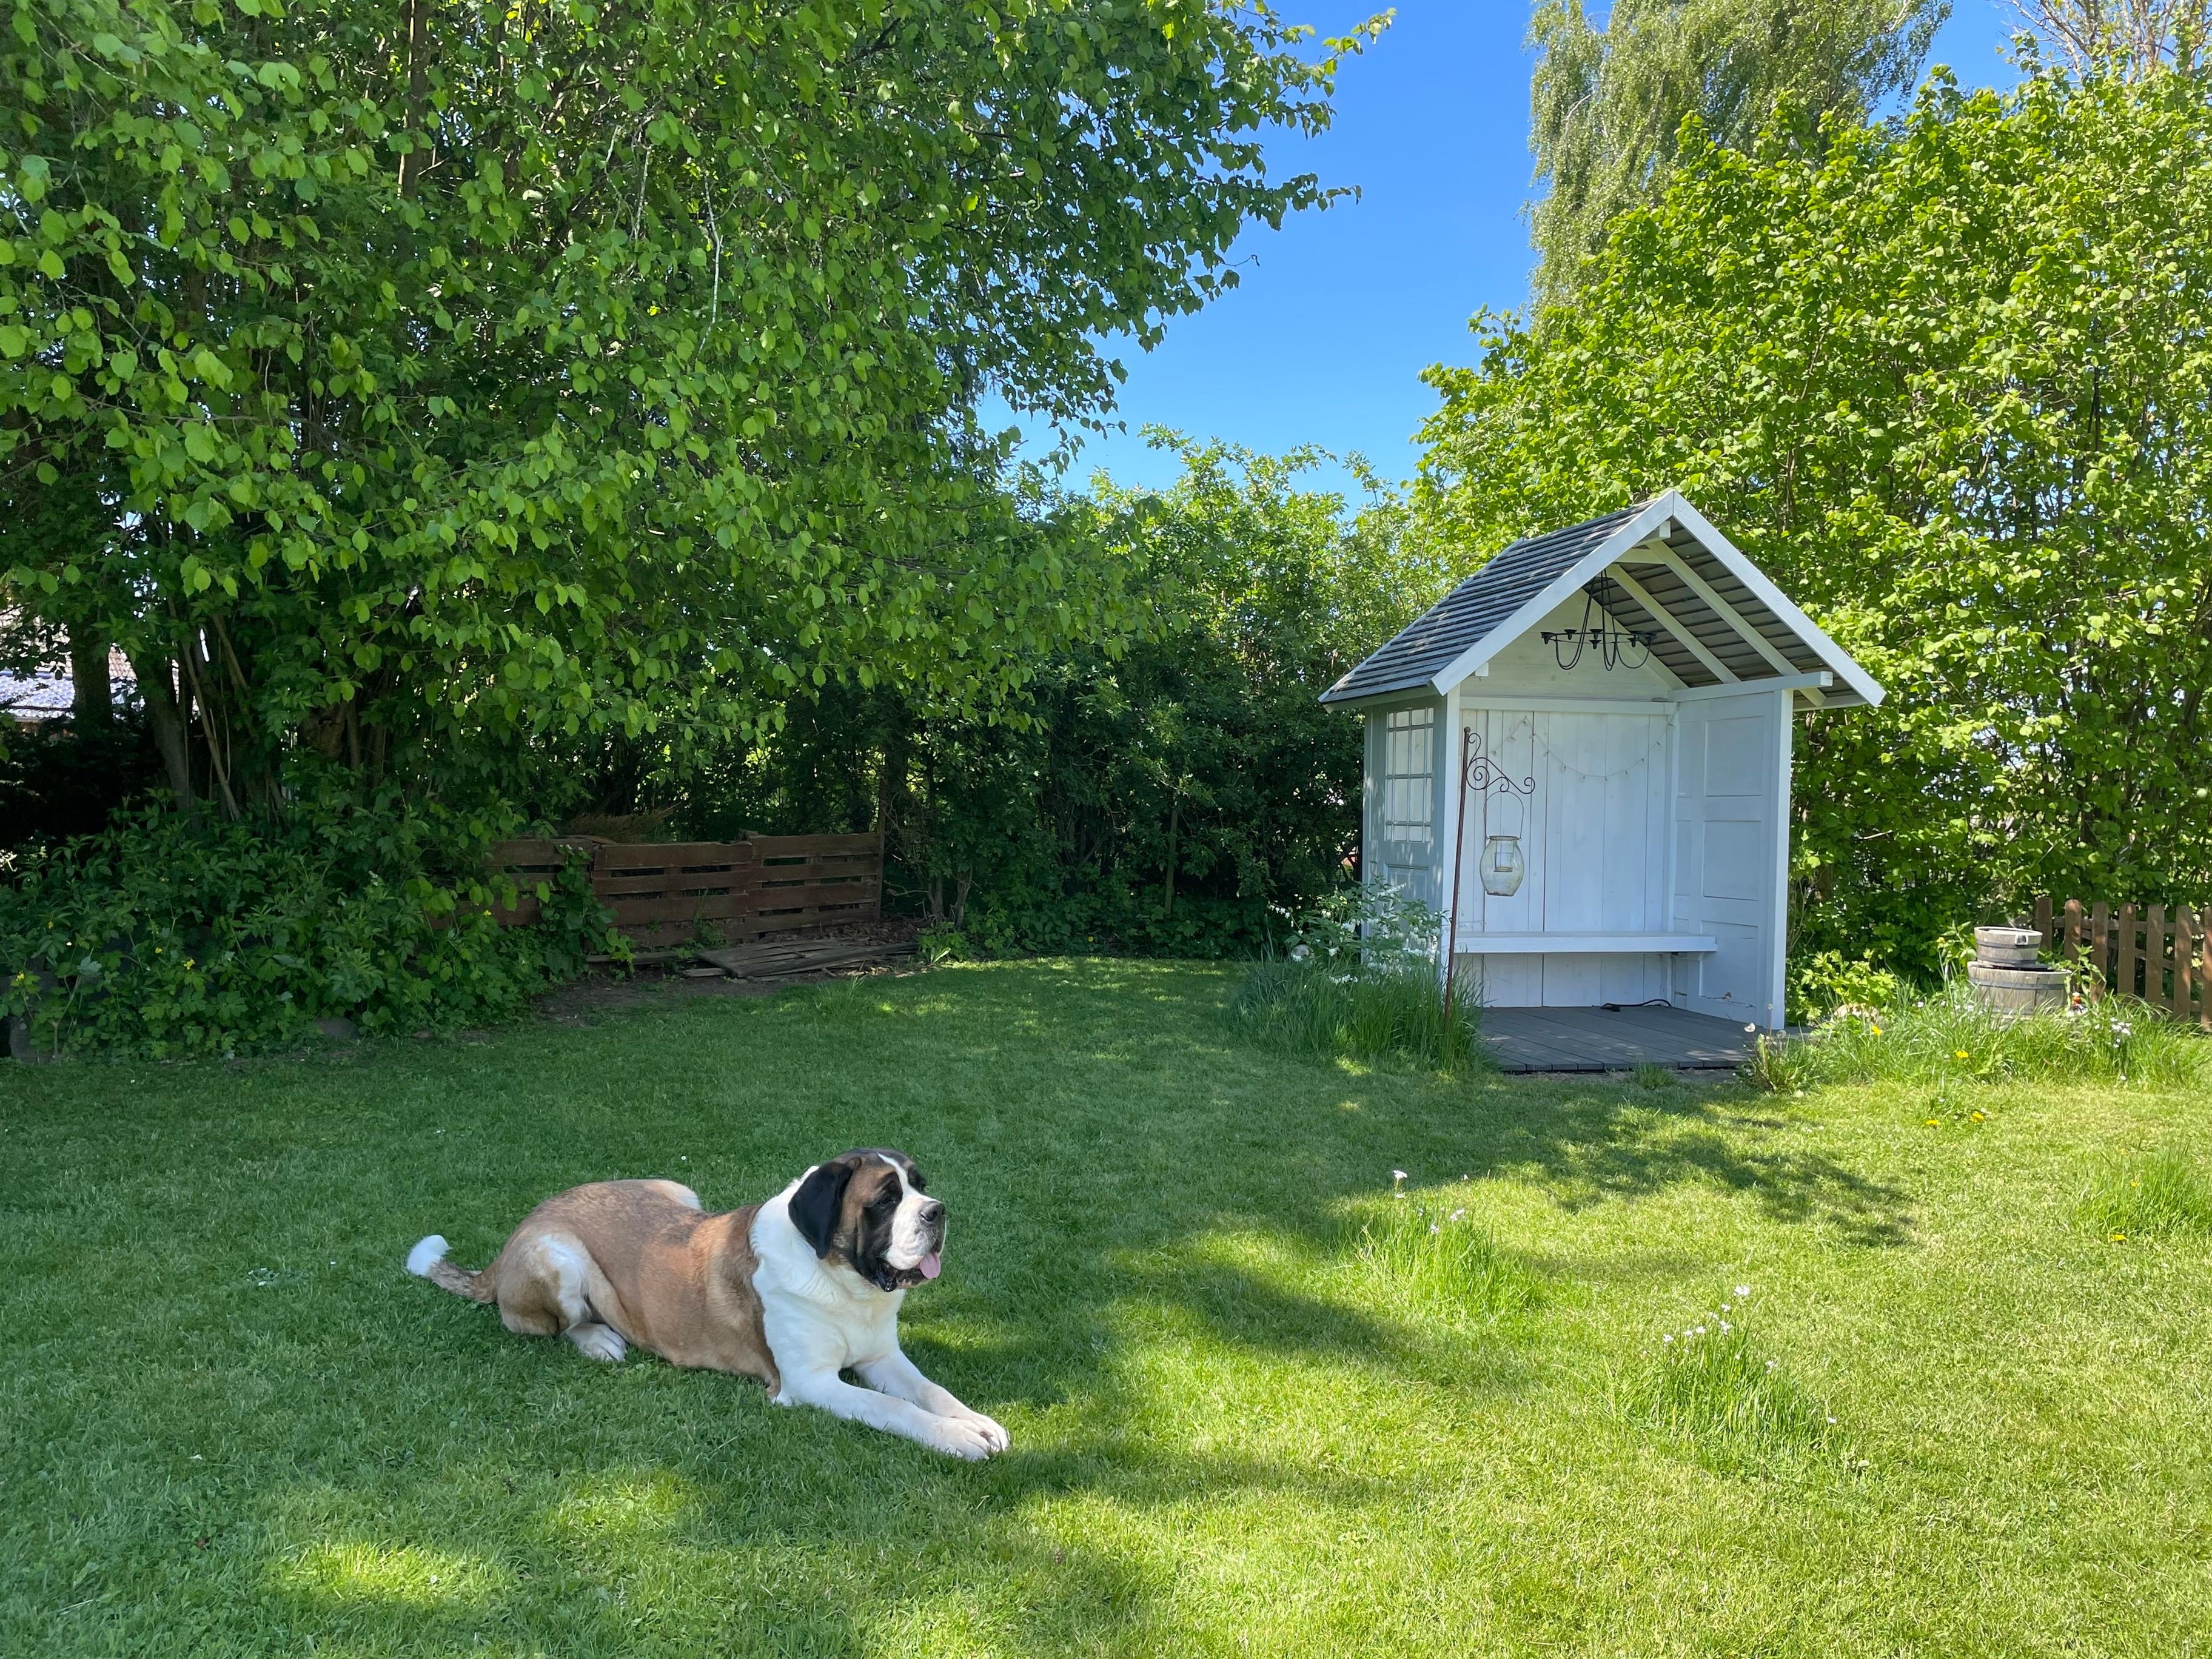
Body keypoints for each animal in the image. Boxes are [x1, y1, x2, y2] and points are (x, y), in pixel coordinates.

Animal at [404, 1148, 1008, 1459]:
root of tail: (515, 1236)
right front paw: (959, 1439)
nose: (937, 1211)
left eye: (920, 1185)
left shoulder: (883, 1358)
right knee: (558, 1324)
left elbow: (929, 1391)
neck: (839, 1281)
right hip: (557, 1257)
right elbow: (892, 1408)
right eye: (885, 1200)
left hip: (676, 1189)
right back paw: (599, 1340)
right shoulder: (810, 1384)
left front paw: (977, 1422)